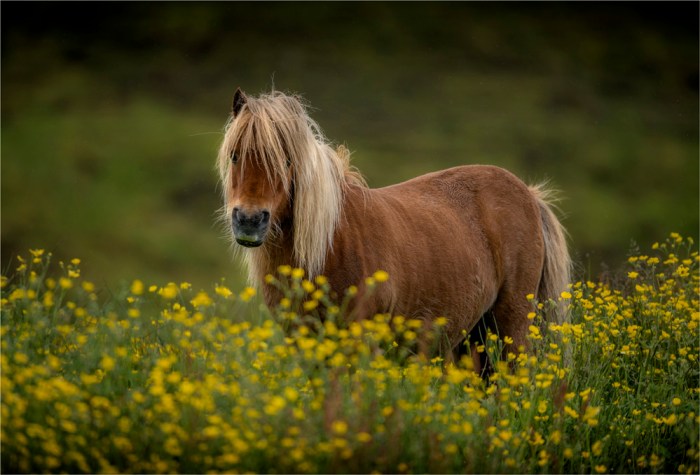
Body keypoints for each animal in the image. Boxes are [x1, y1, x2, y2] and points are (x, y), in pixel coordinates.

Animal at [217, 88, 571, 367]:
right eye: (234, 156)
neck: (329, 245)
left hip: (511, 324)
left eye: (286, 161)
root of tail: (528, 193)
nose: (249, 220)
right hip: (472, 338)